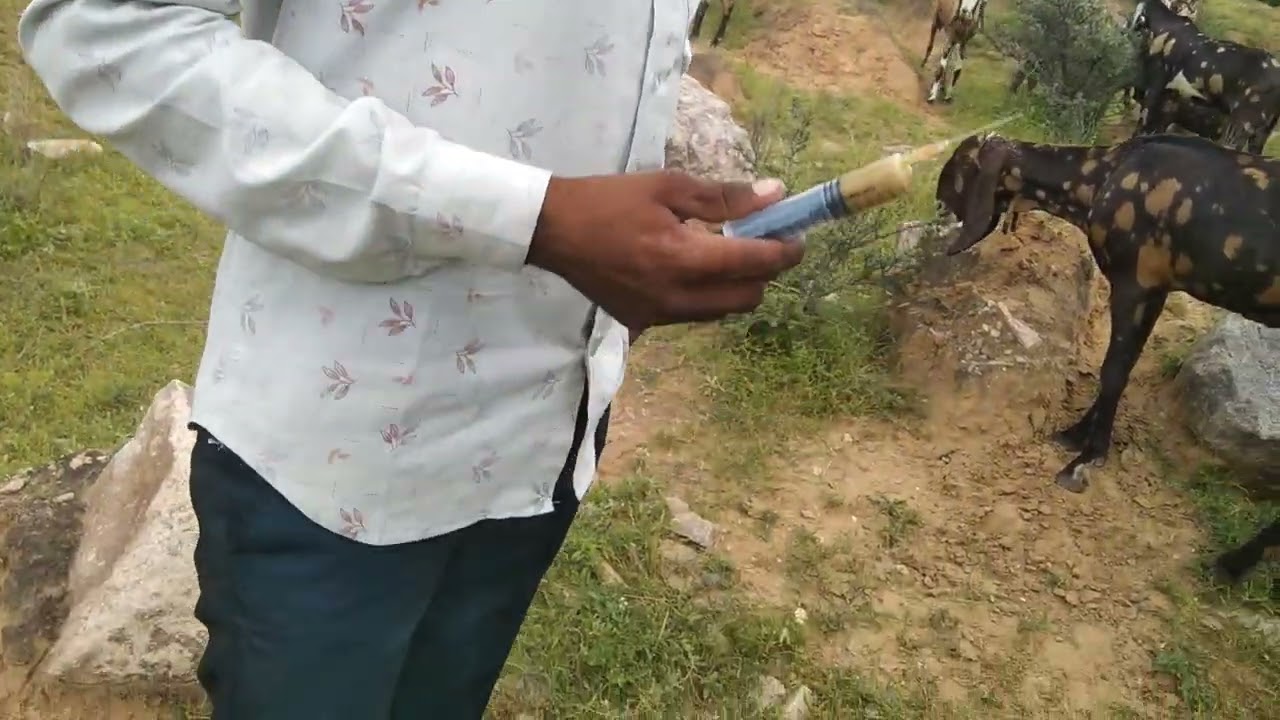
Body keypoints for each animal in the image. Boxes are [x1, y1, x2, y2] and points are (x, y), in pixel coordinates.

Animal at [934, 132, 1280, 492]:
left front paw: (1086, 459)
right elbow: (1123, 368)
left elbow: (1112, 371)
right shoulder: (1156, 288)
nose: (937, 202)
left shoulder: (1134, 283)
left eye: (957, 165)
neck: (1102, 177)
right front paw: (1076, 435)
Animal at [1129, 0, 1280, 153]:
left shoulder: (1153, 93)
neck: (1165, 29)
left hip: (1241, 124)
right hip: (1261, 133)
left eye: (1135, 16)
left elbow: (1141, 130)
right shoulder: (1169, 103)